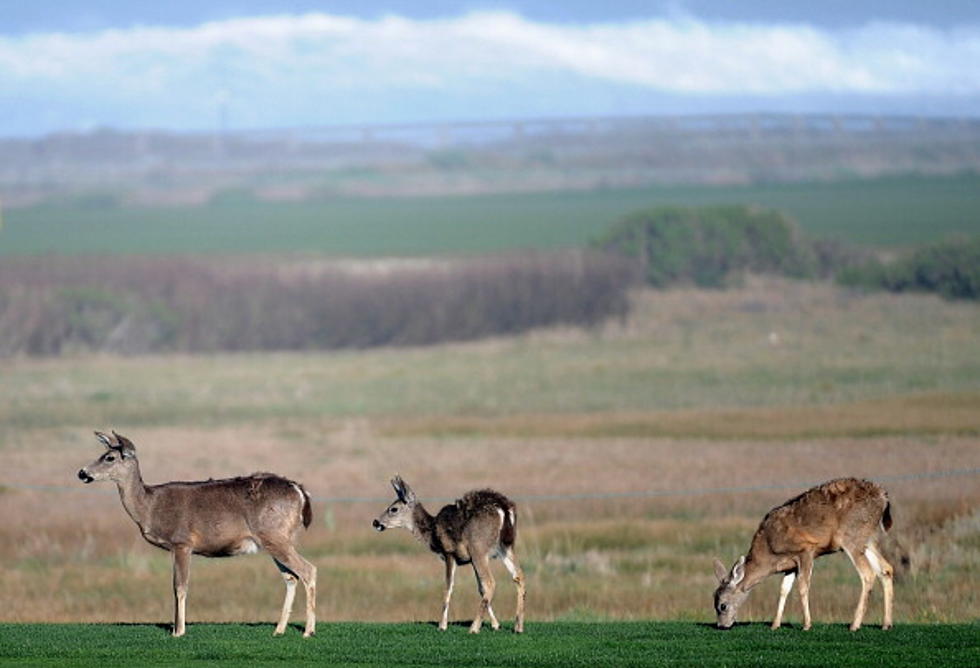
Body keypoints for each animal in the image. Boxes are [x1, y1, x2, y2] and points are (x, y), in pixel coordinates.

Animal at [80, 430, 318, 640]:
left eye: (109, 457)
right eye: (103, 454)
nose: (82, 472)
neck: (149, 506)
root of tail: (300, 492)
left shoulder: (182, 542)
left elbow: (179, 586)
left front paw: (178, 631)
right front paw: (176, 628)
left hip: (274, 535)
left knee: (308, 570)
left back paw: (308, 631)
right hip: (275, 539)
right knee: (291, 577)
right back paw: (279, 630)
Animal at [372, 474, 524, 632]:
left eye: (393, 509)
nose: (376, 522)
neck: (432, 533)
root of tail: (504, 509)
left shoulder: (449, 553)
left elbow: (449, 586)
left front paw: (442, 625)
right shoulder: (469, 559)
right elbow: (480, 588)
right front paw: (496, 624)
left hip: (478, 548)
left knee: (491, 582)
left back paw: (474, 627)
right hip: (506, 547)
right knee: (518, 576)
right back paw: (518, 626)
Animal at [712, 474, 896, 632]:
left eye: (722, 605)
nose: (721, 625)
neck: (769, 551)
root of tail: (884, 497)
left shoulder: (806, 550)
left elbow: (802, 586)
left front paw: (807, 624)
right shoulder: (790, 564)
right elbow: (784, 589)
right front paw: (775, 624)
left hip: (851, 536)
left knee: (868, 574)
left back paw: (855, 624)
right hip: (867, 539)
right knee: (886, 569)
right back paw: (886, 624)